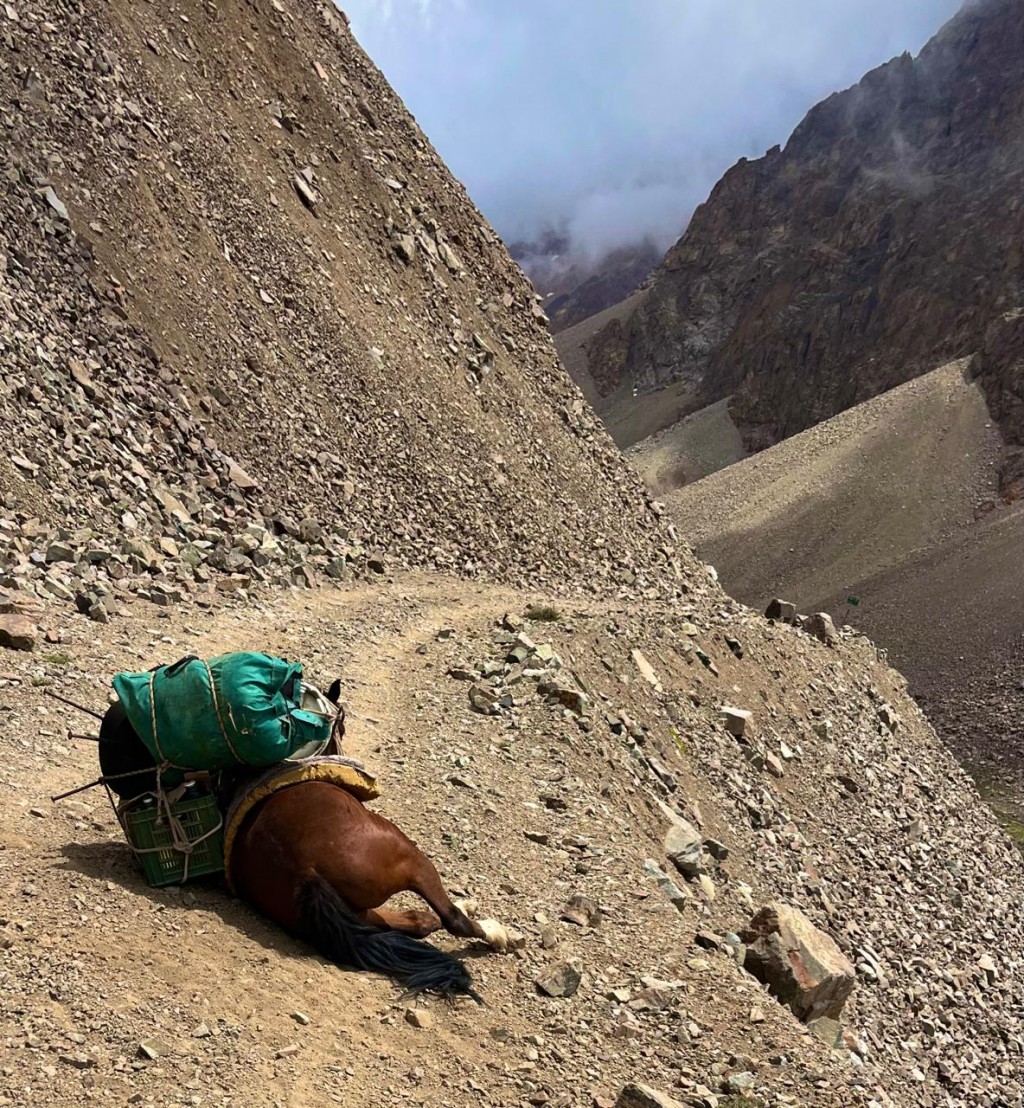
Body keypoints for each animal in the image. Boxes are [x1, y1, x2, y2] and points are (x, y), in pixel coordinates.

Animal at [230, 780, 492, 1006]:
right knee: (452, 919)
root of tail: (304, 870)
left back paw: (429, 920)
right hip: (410, 857)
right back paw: (491, 933)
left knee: (391, 922)